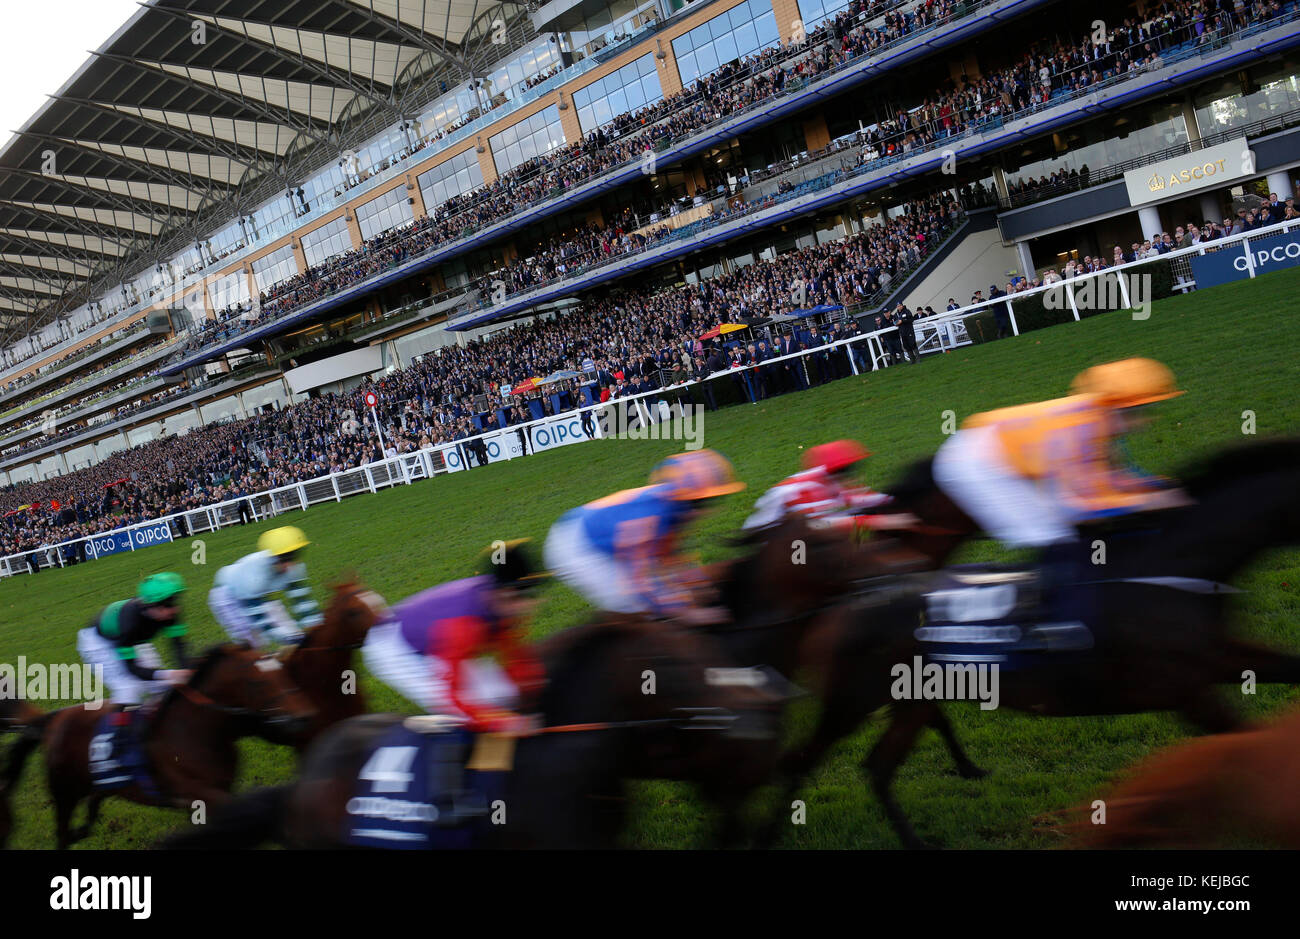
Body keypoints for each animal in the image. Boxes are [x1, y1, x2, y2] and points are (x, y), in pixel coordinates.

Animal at [2, 639, 315, 842]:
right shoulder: (203, 795)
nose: (305, 715)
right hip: (64, 794)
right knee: (63, 833)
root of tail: (51, 721)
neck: (196, 728)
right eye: (257, 683)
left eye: (282, 670)